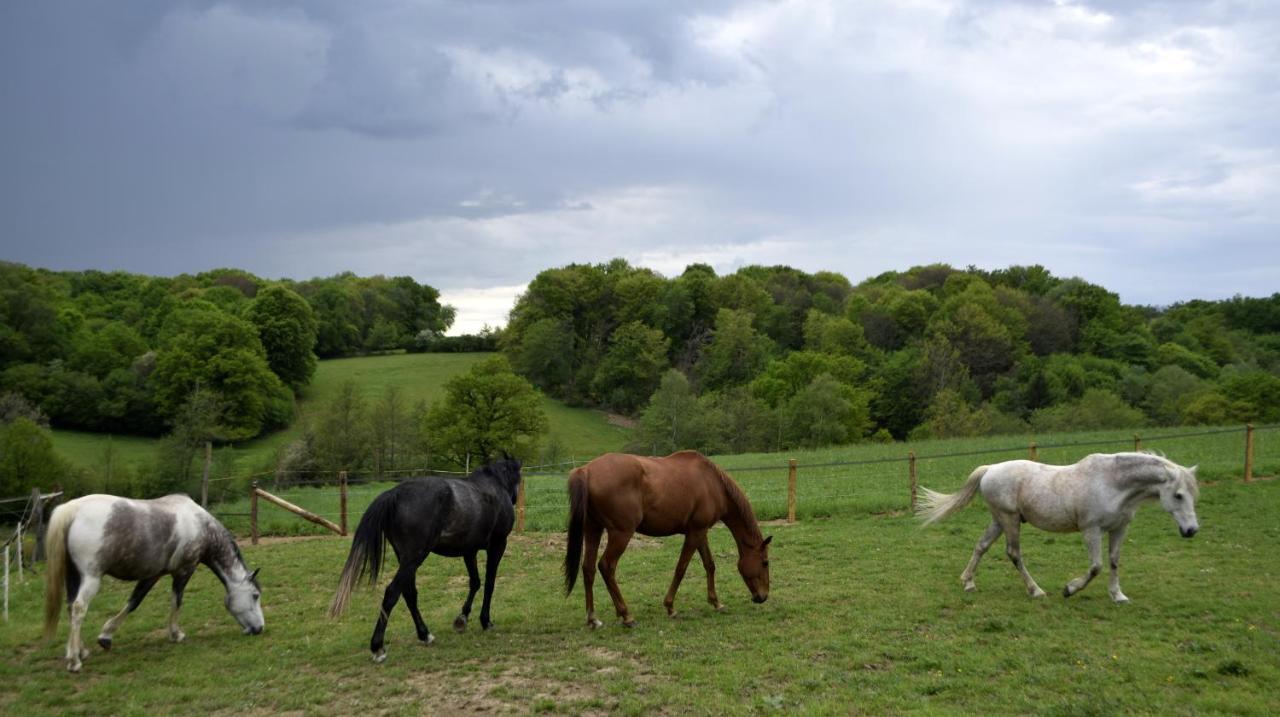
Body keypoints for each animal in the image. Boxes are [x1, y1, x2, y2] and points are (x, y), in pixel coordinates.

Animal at [43, 491, 263, 670]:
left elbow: (134, 601)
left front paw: (106, 636)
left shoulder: (153, 574)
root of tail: (72, 509)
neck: (200, 525)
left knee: (71, 607)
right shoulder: (183, 571)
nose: (259, 629)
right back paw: (74, 661)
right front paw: (176, 634)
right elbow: (176, 601)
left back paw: (81, 651)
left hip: (73, 577)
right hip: (91, 578)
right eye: (255, 595)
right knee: (79, 608)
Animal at [327, 455, 522, 665]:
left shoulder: (469, 550)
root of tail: (394, 494)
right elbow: (489, 584)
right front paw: (485, 621)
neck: (494, 486)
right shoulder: (497, 545)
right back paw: (378, 647)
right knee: (392, 593)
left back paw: (424, 634)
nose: (515, 498)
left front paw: (462, 619)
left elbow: (475, 582)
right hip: (414, 557)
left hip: (406, 558)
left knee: (409, 593)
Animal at [563, 453, 768, 627]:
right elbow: (681, 568)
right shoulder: (695, 533)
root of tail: (586, 471)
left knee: (588, 569)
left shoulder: (700, 532)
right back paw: (626, 615)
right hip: (621, 534)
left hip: (593, 529)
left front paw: (716, 602)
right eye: (765, 562)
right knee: (606, 566)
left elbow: (709, 565)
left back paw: (592, 618)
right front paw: (670, 606)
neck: (711, 483)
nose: (763, 596)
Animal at [916, 450, 1192, 601]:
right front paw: (1069, 589)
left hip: (999, 520)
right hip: (1009, 520)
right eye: (1178, 495)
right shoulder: (1091, 530)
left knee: (981, 546)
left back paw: (969, 582)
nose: (1191, 530)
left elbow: (1114, 562)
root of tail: (989, 469)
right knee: (1013, 553)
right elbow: (1096, 566)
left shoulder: (1119, 528)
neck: (1112, 482)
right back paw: (1036, 590)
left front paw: (1118, 596)